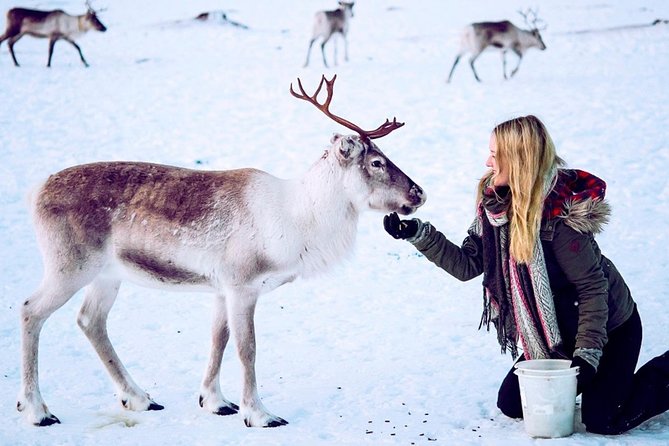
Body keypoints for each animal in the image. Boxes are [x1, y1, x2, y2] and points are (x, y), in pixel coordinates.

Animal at [16, 75, 426, 428]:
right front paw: (259, 414)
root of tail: (35, 191)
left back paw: (140, 397)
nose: (419, 193)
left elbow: (219, 340)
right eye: (376, 162)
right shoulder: (242, 284)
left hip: (107, 274)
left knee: (90, 320)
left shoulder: (221, 288)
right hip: (69, 266)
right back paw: (37, 410)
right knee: (30, 311)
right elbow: (248, 349)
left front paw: (216, 402)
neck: (298, 219)